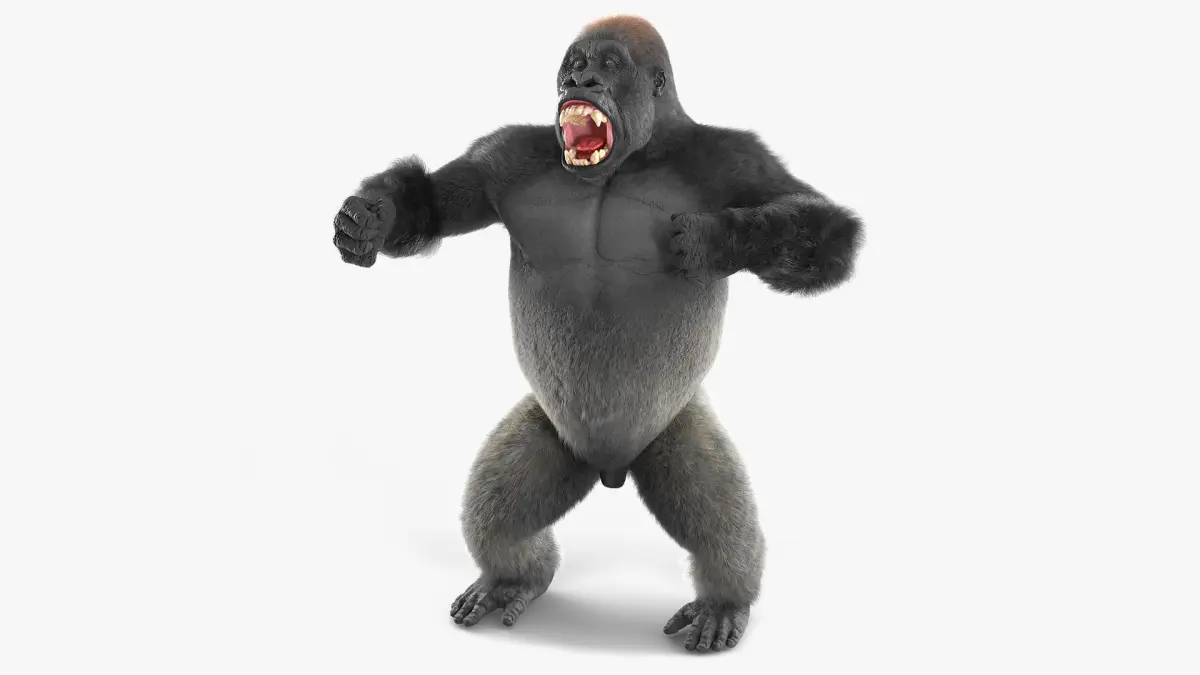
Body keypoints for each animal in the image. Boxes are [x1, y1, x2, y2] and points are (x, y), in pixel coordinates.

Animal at [332, 15, 863, 652]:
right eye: (574, 63)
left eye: (608, 65)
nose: (577, 82)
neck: (632, 157)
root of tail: (610, 467)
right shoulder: (502, 158)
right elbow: (434, 200)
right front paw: (375, 218)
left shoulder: (735, 159)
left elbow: (823, 228)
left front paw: (717, 239)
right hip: (554, 435)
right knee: (496, 516)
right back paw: (513, 578)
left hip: (672, 426)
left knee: (719, 520)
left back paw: (724, 600)